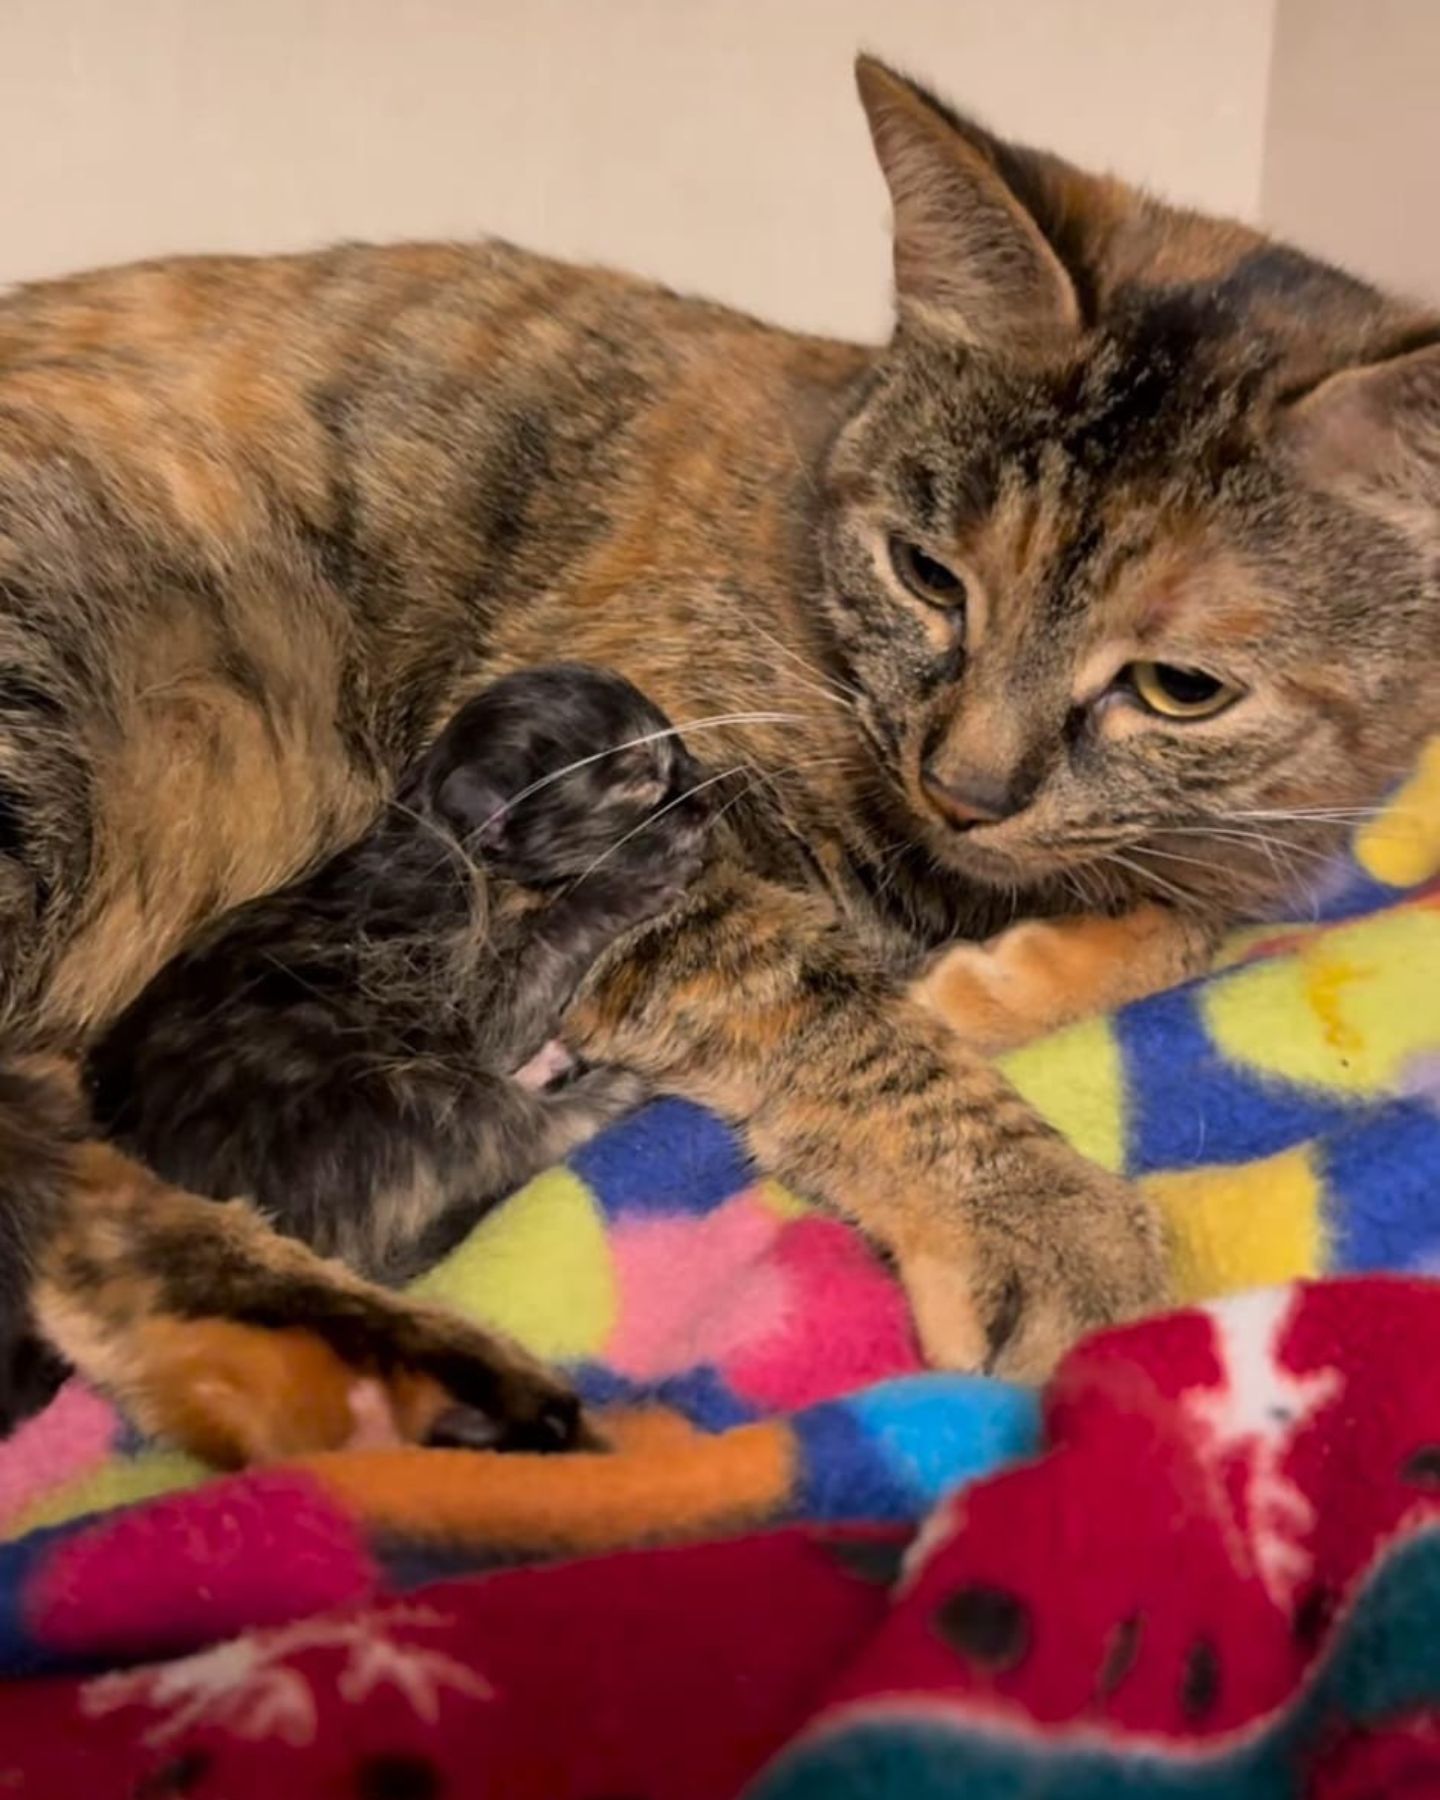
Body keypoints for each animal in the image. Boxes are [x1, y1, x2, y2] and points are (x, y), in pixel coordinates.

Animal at [85, 662, 709, 1296]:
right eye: (641, 780)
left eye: (680, 753)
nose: (705, 800)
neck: (440, 839)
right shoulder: (462, 993)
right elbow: (543, 950)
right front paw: (619, 889)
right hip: (421, 1095)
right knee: (553, 1128)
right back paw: (621, 1083)